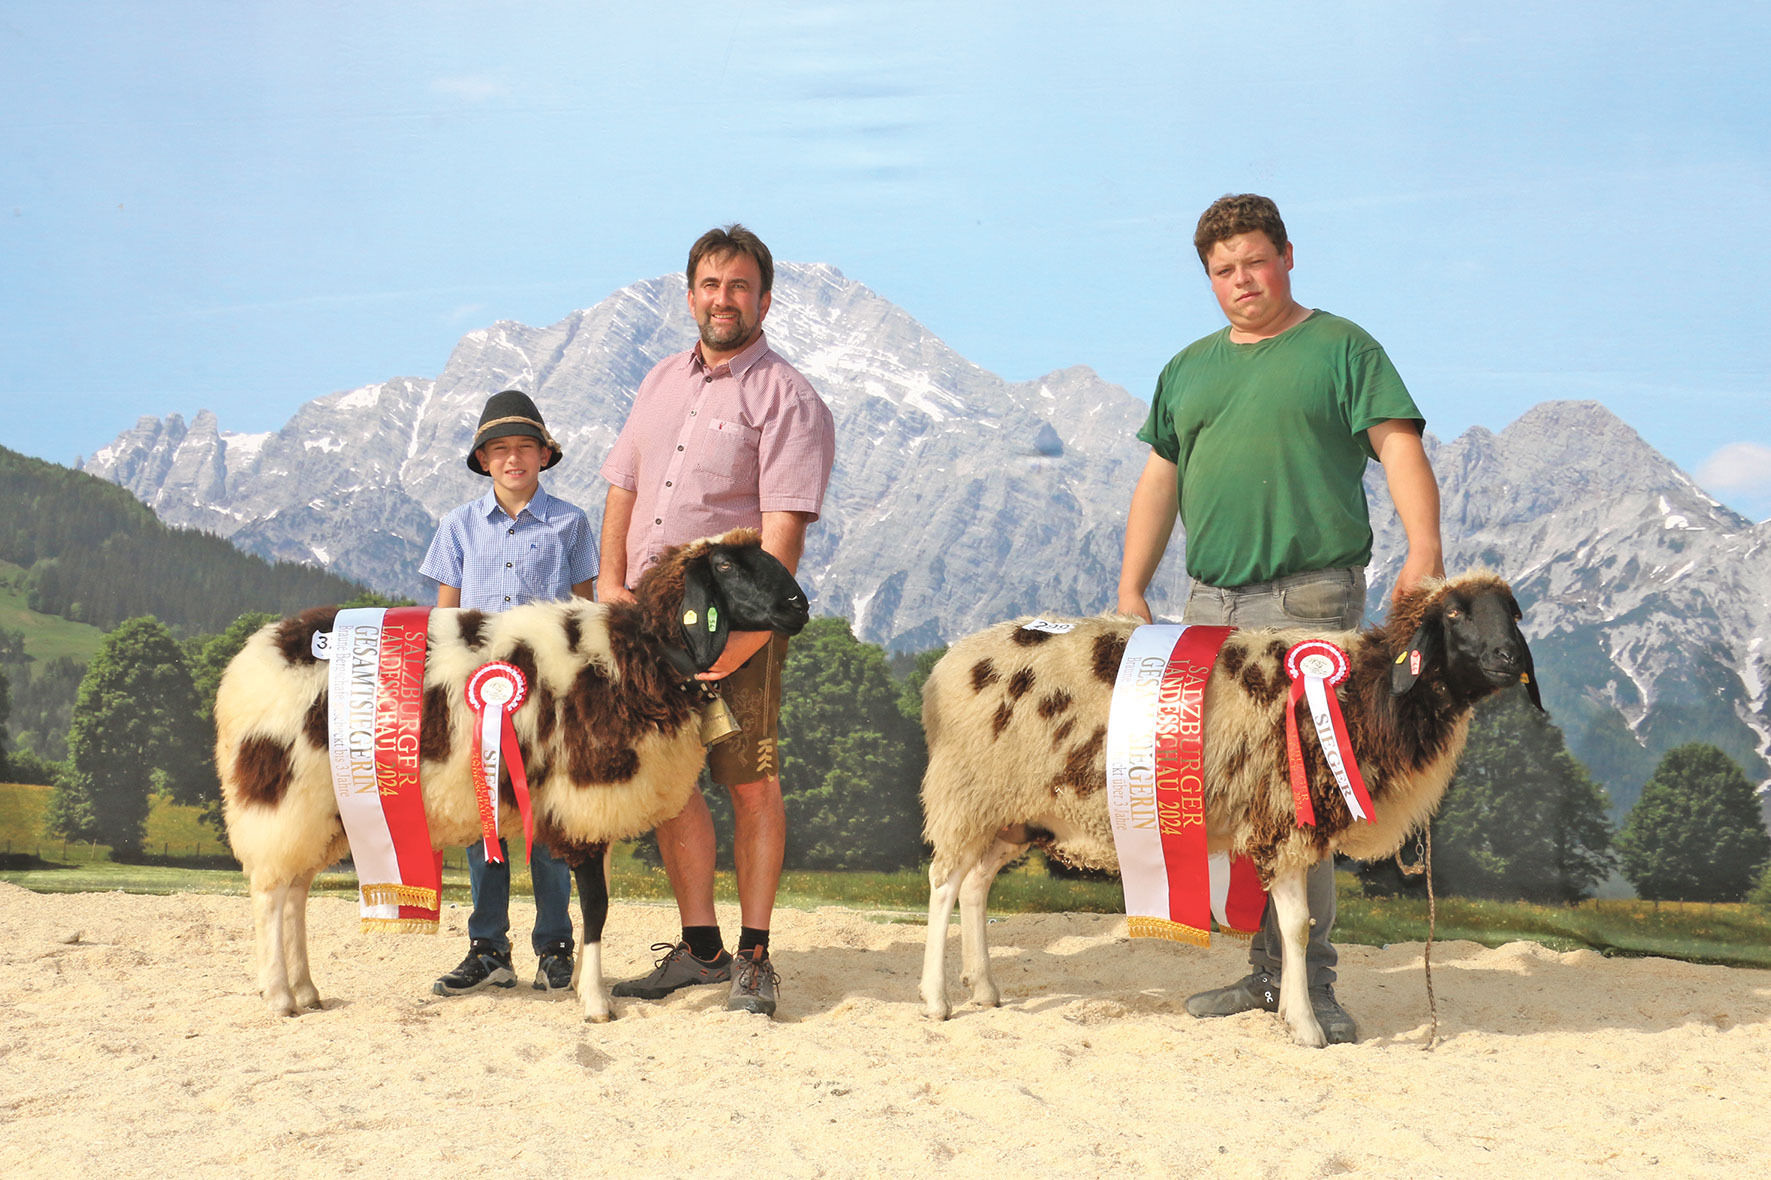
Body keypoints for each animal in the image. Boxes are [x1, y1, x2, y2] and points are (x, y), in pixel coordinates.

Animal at [212, 527, 811, 1013]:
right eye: (726, 566)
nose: (799, 604)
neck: (638, 657)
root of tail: (247, 662)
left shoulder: (594, 804)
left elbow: (595, 905)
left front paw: (579, 982)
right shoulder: (582, 800)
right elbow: (597, 905)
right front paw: (595, 1004)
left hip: (321, 807)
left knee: (293, 891)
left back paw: (306, 990)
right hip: (283, 794)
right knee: (271, 894)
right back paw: (279, 996)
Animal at [920, 570, 1544, 1041]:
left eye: (1513, 612)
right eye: (1456, 614)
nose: (1507, 657)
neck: (1361, 696)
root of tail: (948, 665)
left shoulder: (1284, 827)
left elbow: (1289, 928)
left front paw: (1291, 1011)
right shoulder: (1285, 822)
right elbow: (1296, 927)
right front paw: (1306, 1027)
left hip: (1013, 811)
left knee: (976, 886)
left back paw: (985, 988)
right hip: (968, 792)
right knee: (944, 882)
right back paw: (935, 999)